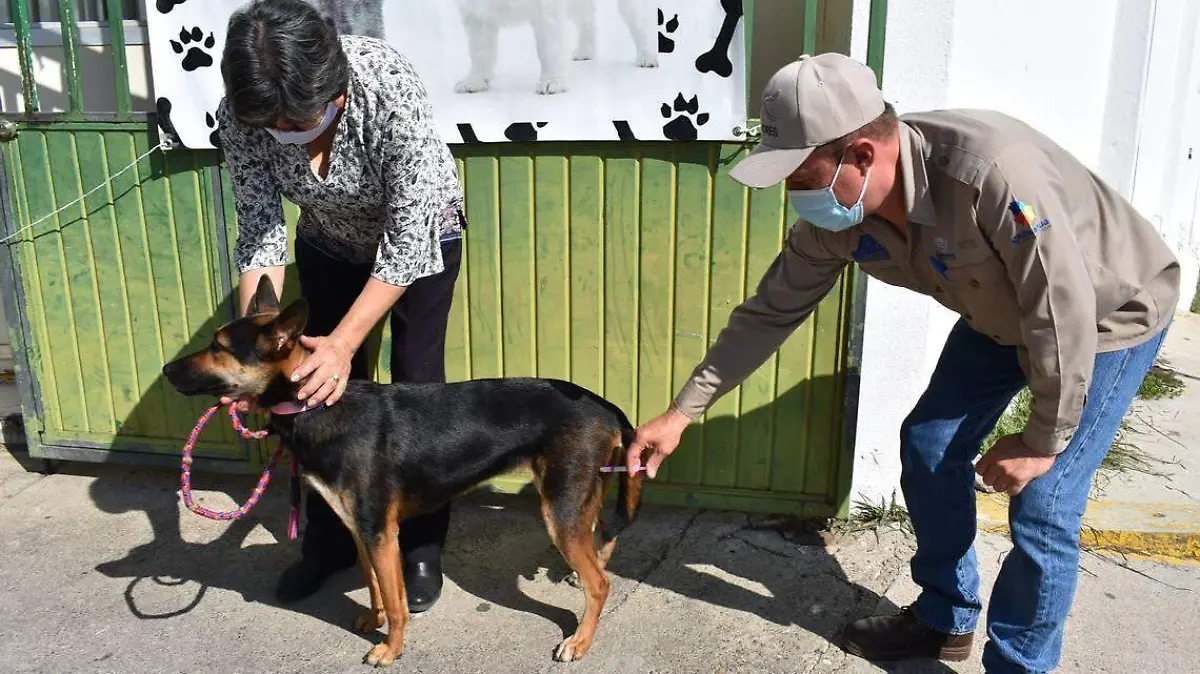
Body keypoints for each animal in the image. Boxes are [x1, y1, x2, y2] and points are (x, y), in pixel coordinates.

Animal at [166, 275, 648, 662]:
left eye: (219, 347)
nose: (167, 369)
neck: (316, 405)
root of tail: (605, 406)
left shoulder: (380, 531)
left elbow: (398, 602)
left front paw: (390, 649)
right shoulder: (361, 528)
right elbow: (377, 585)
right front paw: (373, 619)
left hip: (559, 508)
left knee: (601, 584)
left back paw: (579, 641)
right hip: (578, 498)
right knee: (599, 547)